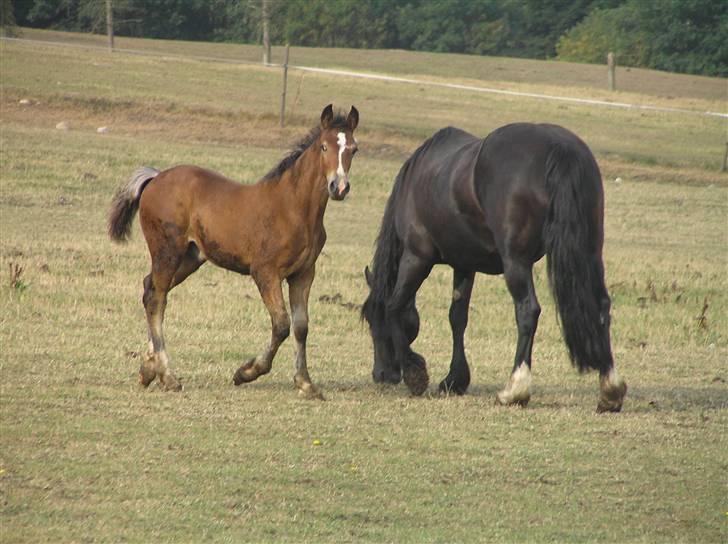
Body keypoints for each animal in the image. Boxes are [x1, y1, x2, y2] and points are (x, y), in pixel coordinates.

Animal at [107, 104, 358, 398]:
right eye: (323, 147)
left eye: (353, 149)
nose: (339, 187)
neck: (294, 209)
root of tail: (156, 177)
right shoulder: (265, 272)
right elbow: (281, 325)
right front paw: (246, 372)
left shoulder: (304, 274)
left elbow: (300, 326)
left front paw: (305, 382)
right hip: (167, 251)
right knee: (156, 298)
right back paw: (168, 376)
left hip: (190, 258)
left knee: (151, 289)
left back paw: (149, 369)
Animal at [362, 124, 624, 412]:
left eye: (373, 321)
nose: (381, 374)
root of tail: (559, 148)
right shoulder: (464, 265)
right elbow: (457, 317)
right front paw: (455, 379)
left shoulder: (416, 257)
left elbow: (394, 306)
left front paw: (414, 373)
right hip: (588, 252)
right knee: (600, 307)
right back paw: (610, 389)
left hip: (515, 262)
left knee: (527, 310)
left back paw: (515, 389)